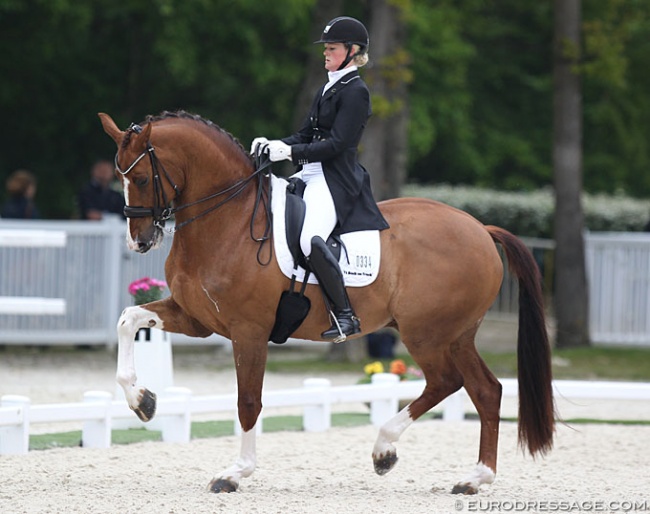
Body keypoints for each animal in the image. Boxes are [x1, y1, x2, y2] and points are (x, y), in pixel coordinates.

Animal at [97, 109, 552, 492]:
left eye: (141, 178)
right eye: (120, 177)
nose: (140, 242)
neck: (228, 221)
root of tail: (481, 229)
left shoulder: (248, 331)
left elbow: (248, 401)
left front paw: (235, 473)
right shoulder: (197, 319)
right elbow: (127, 319)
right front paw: (143, 402)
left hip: (427, 333)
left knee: (446, 382)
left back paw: (385, 451)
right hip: (457, 335)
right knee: (486, 390)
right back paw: (475, 478)